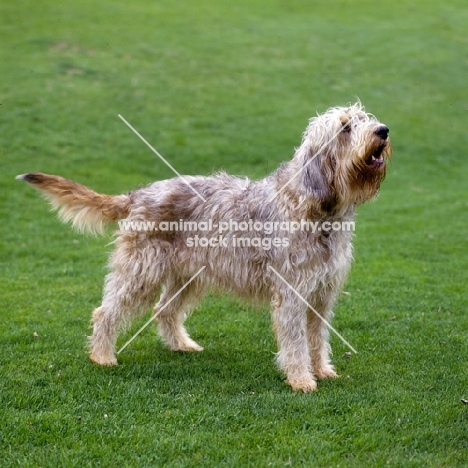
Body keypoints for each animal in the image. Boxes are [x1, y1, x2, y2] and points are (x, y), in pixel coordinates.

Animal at [17, 102, 392, 392]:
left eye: (365, 117)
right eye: (345, 127)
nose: (383, 130)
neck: (318, 210)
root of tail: (138, 194)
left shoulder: (322, 294)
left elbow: (317, 338)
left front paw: (323, 371)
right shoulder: (291, 295)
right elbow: (297, 341)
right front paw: (301, 380)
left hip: (188, 276)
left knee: (164, 309)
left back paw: (180, 345)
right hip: (141, 272)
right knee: (106, 312)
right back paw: (102, 356)